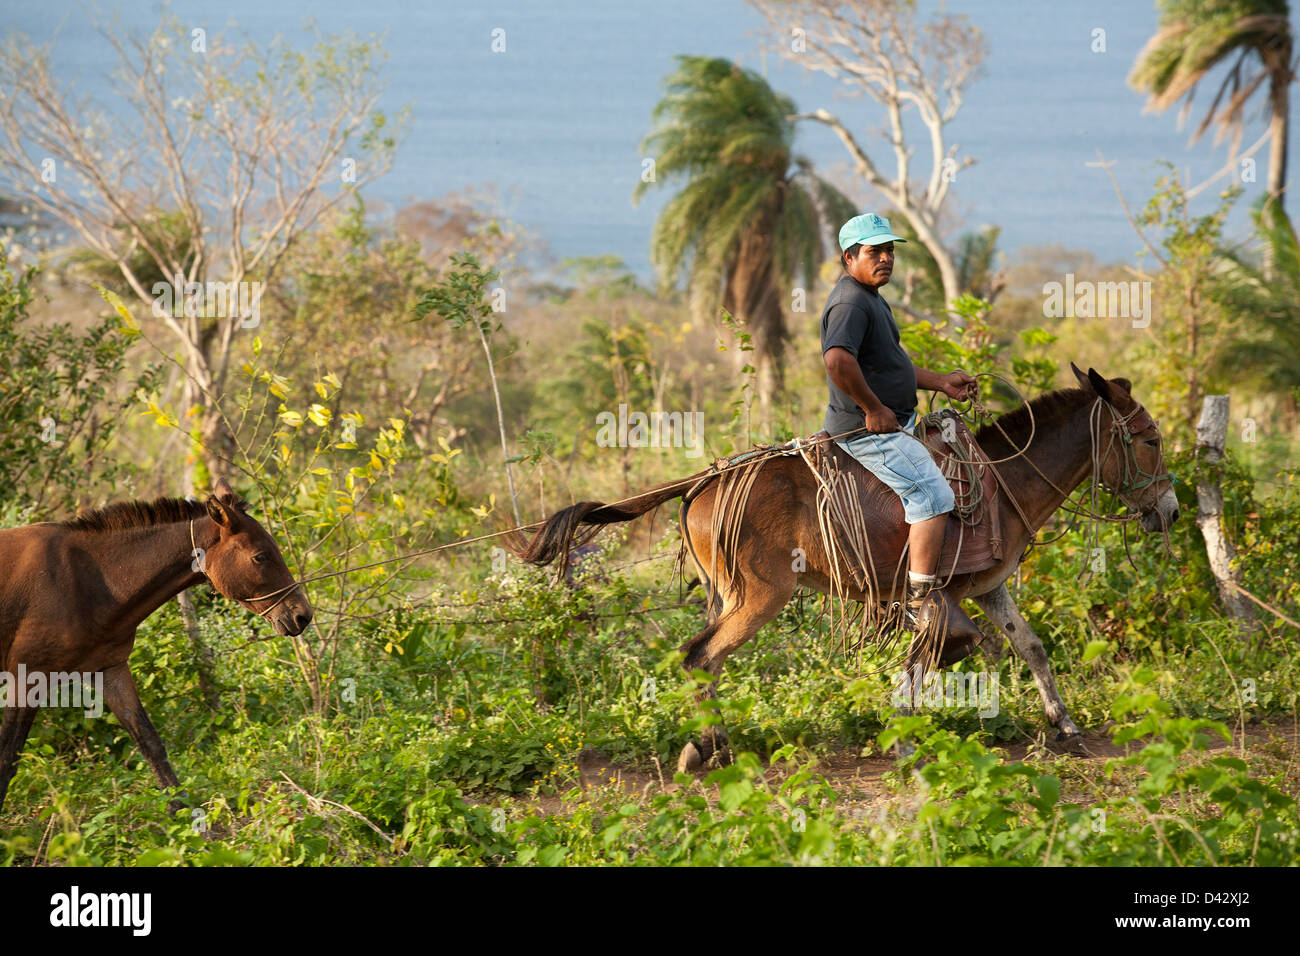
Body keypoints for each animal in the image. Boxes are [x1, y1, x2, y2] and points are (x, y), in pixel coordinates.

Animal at [0, 478, 313, 816]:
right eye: (260, 557)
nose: (302, 615)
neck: (88, 580)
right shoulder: (28, 676)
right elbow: (7, 757)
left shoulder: (109, 669)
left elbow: (150, 741)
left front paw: (184, 812)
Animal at [512, 366, 1185, 770]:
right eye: (1150, 440)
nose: (1171, 511)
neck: (1003, 480)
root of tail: (704, 483)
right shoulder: (945, 596)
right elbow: (935, 654)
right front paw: (904, 737)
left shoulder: (988, 589)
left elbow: (1032, 648)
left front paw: (1064, 724)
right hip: (760, 596)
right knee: (702, 656)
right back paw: (711, 747)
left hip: (727, 595)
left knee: (705, 658)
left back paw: (708, 742)